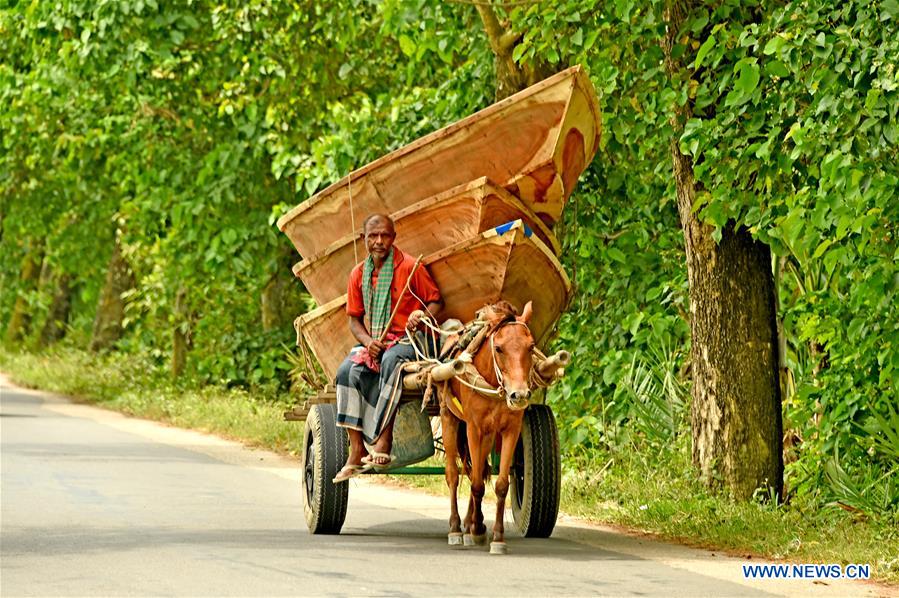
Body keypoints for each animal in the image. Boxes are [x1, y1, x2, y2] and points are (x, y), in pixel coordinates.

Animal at [440, 302, 536, 556]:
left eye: (531, 346)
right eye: (499, 348)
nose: (519, 395)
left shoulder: (510, 429)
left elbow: (500, 484)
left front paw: (497, 537)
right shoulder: (473, 428)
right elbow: (475, 484)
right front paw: (474, 530)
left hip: (488, 434)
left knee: (478, 469)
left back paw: (472, 523)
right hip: (449, 418)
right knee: (454, 475)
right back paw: (456, 528)